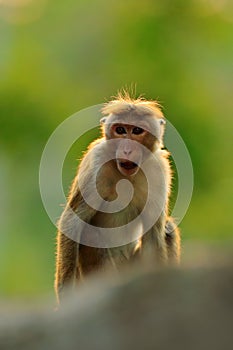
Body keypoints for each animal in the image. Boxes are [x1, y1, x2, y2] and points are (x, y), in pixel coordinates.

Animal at [54, 93, 180, 304]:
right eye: (120, 130)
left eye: (137, 131)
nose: (127, 149)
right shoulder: (96, 161)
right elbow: (73, 221)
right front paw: (66, 295)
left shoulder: (159, 169)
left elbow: (153, 235)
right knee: (89, 232)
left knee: (167, 229)